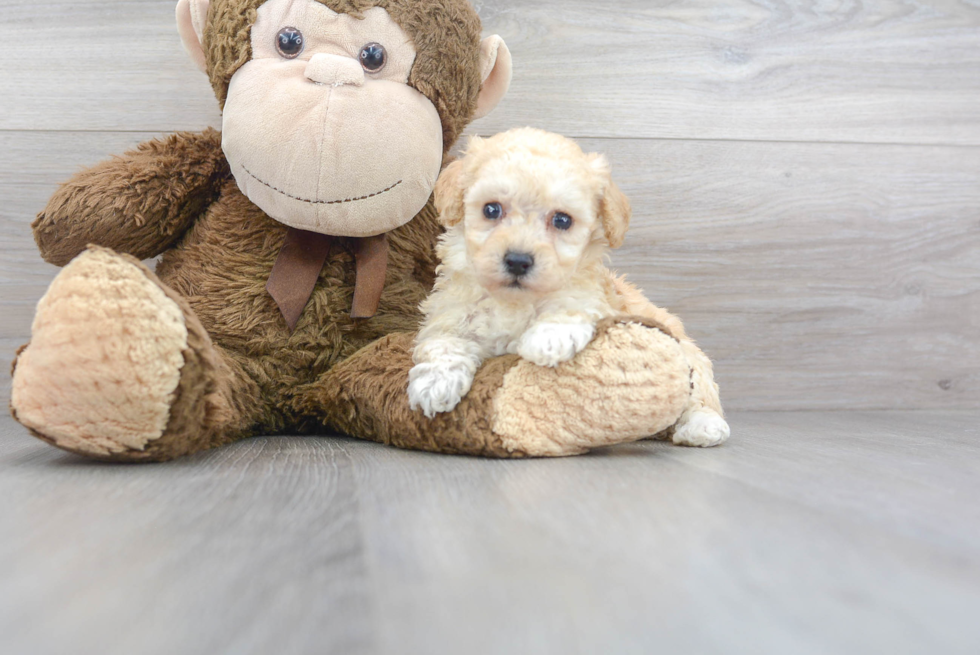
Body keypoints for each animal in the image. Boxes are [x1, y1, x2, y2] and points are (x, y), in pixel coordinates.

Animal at [406, 126, 728, 448]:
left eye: (562, 220)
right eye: (491, 209)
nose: (518, 260)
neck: (514, 301)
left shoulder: (594, 295)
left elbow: (573, 302)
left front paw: (548, 338)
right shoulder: (451, 314)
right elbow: (443, 342)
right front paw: (435, 382)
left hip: (689, 355)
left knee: (699, 393)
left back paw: (703, 425)